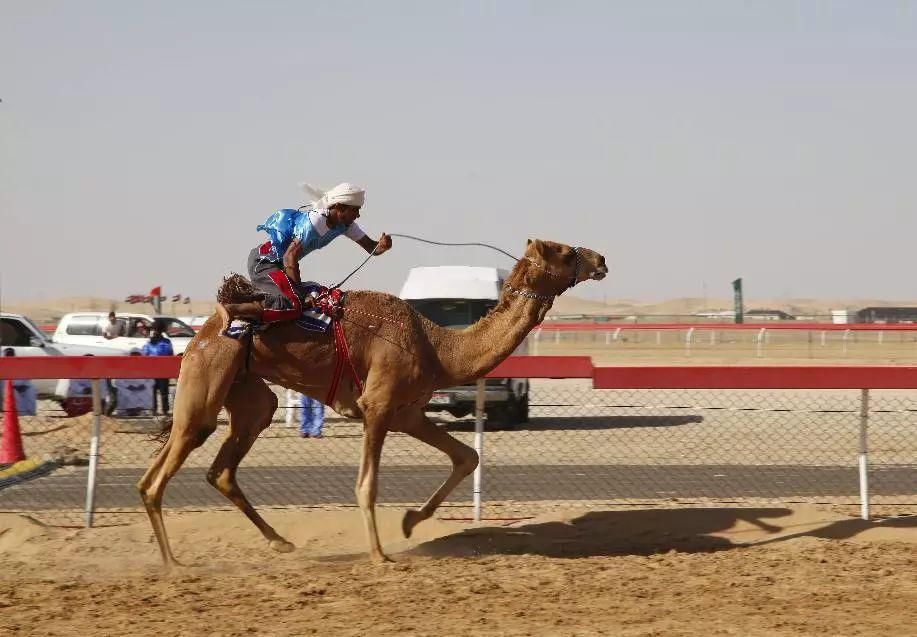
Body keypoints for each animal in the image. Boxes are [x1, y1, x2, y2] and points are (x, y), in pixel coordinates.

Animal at [138, 237, 608, 560]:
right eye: (562, 251)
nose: (600, 259)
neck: (439, 348)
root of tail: (200, 333)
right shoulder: (377, 408)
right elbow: (367, 485)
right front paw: (380, 554)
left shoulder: (408, 413)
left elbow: (466, 457)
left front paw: (410, 522)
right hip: (207, 378)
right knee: (163, 470)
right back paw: (171, 563)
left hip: (248, 394)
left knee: (221, 468)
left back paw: (280, 542)